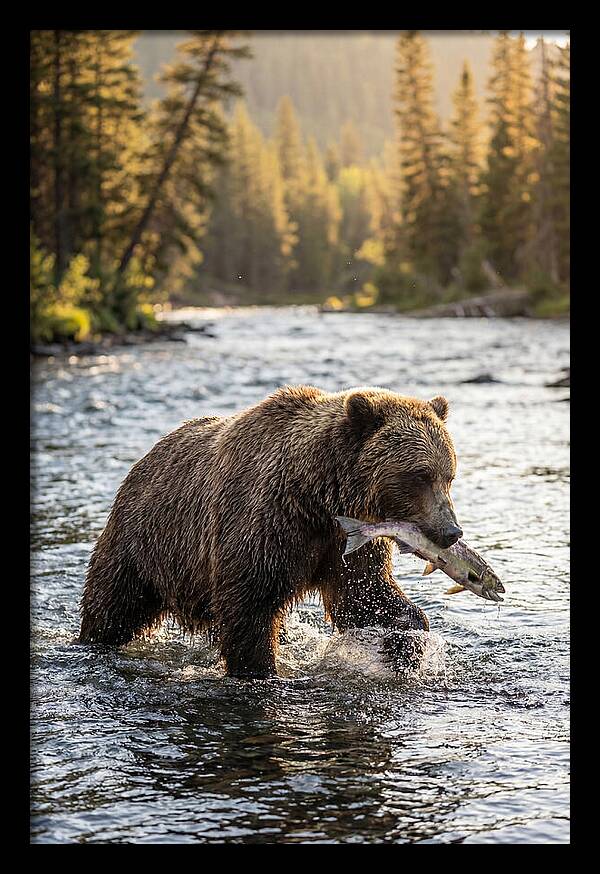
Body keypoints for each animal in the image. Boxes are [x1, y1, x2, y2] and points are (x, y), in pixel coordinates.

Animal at [79, 385, 463, 678]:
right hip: (144, 543)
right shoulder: (266, 524)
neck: (318, 496)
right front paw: (259, 669)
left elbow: (364, 594)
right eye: (420, 475)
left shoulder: (346, 540)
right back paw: (92, 641)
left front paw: (407, 642)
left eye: (449, 475)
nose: (451, 531)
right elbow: (249, 606)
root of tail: (144, 459)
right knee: (113, 605)